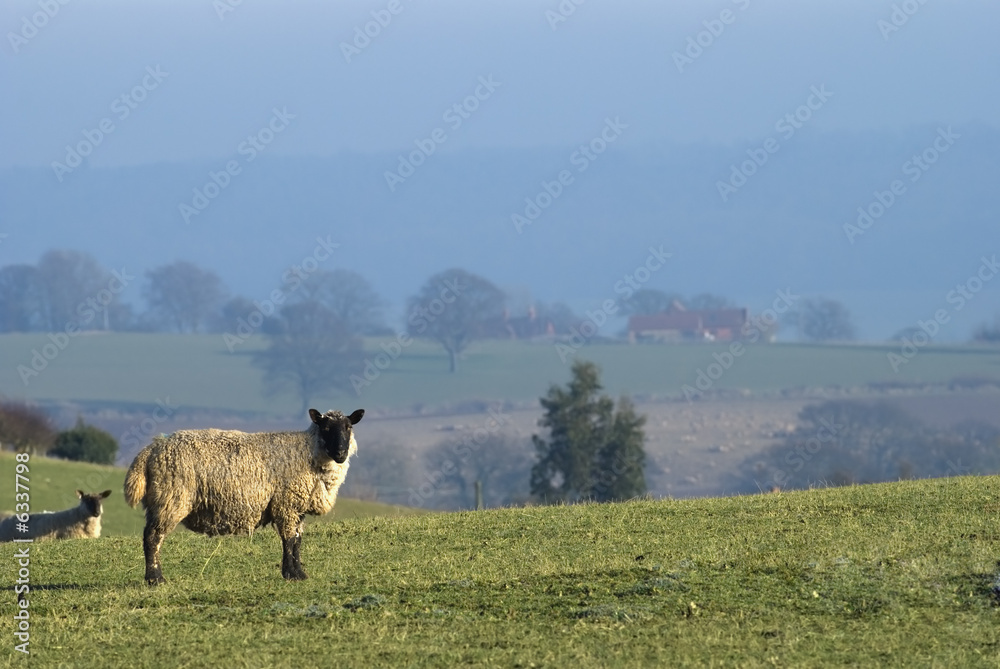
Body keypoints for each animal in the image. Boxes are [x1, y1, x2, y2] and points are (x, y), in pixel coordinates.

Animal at [123, 408, 363, 585]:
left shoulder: (296, 507)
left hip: (160, 500)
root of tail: (150, 451)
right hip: (171, 498)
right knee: (153, 537)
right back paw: (156, 579)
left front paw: (297, 573)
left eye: (348, 427)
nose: (341, 453)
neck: (309, 452)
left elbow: (297, 540)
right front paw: (293, 575)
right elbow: (289, 540)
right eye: (326, 428)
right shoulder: (286, 504)